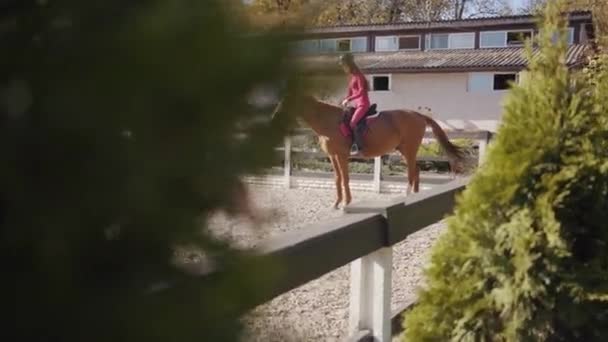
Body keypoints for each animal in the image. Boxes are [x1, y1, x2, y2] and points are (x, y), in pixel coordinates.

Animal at [274, 95, 464, 210]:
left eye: (286, 102)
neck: (330, 121)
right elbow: (337, 179)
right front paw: (336, 203)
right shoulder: (333, 156)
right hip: (406, 151)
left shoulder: (342, 156)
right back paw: (416, 196)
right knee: (416, 170)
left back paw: (407, 195)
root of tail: (418, 115)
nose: (274, 118)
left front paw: (346, 203)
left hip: (409, 150)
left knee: (411, 172)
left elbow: (345, 178)